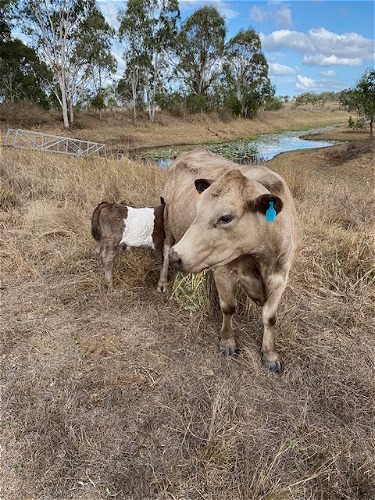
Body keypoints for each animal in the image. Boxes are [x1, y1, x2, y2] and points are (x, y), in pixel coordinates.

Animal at [158, 146, 300, 374]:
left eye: (226, 217)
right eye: (198, 209)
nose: (177, 256)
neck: (260, 259)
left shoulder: (281, 275)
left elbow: (270, 317)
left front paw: (270, 355)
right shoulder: (223, 270)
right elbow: (228, 307)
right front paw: (227, 342)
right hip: (168, 218)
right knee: (164, 248)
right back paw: (163, 282)